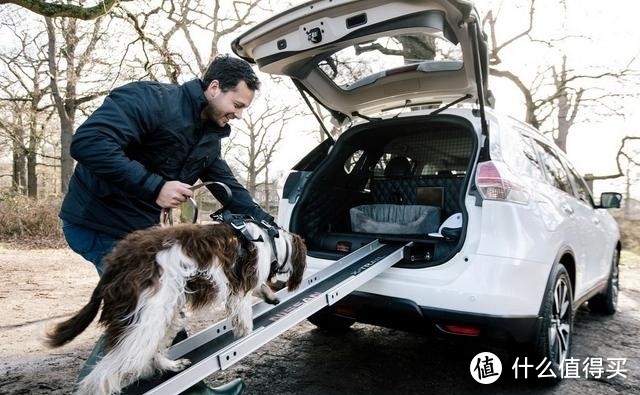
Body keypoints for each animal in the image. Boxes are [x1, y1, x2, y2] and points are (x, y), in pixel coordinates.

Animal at [43, 223, 306, 395]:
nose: (280, 289)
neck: (270, 240)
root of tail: (118, 261)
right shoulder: (239, 290)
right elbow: (245, 320)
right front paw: (249, 334)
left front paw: (270, 295)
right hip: (146, 317)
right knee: (102, 375)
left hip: (164, 313)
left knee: (149, 353)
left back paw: (171, 365)